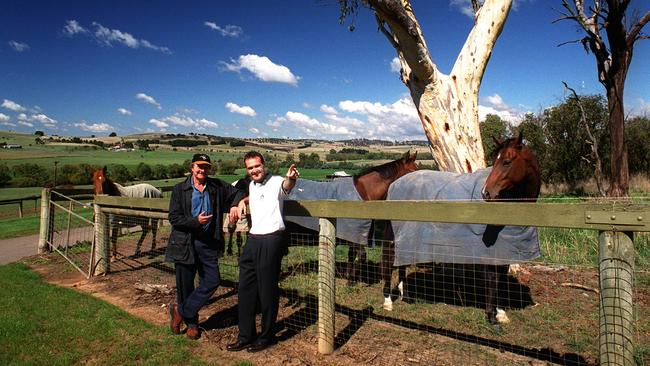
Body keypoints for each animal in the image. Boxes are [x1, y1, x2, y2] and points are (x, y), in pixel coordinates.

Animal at [282, 150, 416, 284]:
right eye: (413, 171)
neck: (364, 193)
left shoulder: (353, 236)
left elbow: (351, 255)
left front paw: (348, 276)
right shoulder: (356, 236)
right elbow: (361, 256)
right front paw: (350, 281)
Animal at [382, 134, 540, 328]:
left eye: (507, 161)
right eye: (495, 160)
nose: (486, 193)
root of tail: (395, 184)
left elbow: (501, 279)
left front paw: (501, 313)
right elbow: (493, 280)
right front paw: (491, 316)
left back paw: (406, 296)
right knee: (388, 261)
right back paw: (388, 301)